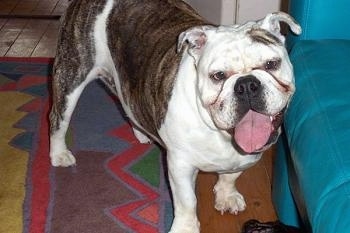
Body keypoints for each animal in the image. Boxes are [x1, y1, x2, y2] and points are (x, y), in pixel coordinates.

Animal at [49, 0, 300, 232]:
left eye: (272, 64)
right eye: (218, 76)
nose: (247, 84)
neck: (220, 133)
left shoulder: (247, 156)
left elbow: (231, 175)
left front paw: (226, 195)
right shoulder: (180, 165)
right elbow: (187, 201)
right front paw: (185, 228)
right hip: (71, 75)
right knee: (58, 118)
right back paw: (59, 154)